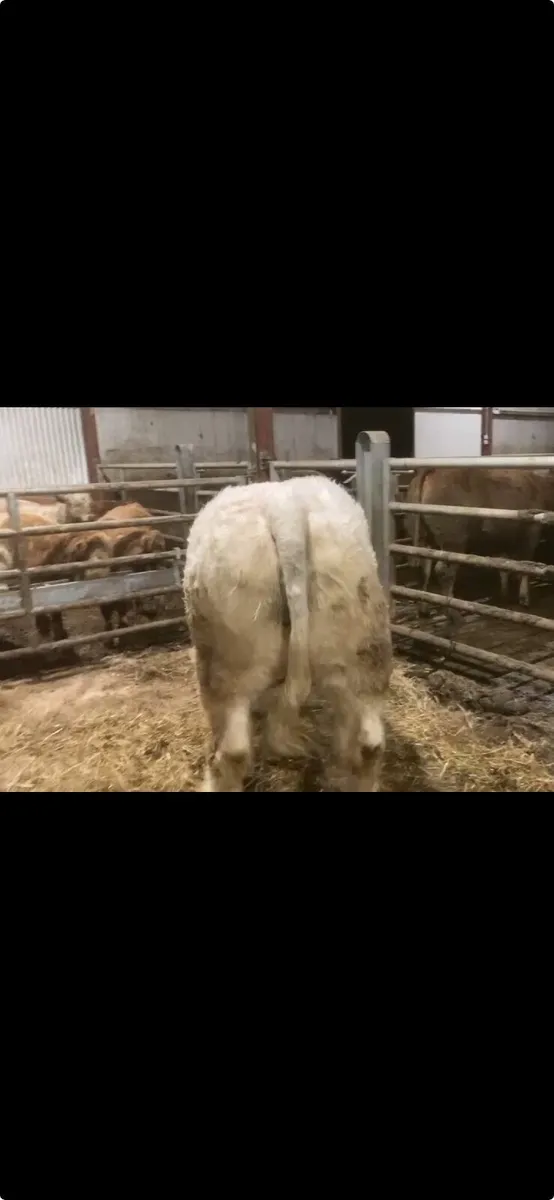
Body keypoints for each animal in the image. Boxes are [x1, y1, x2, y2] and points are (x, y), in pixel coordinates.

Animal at [404, 467, 554, 606]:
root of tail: (433, 470)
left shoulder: (501, 538)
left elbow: (504, 564)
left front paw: (504, 594)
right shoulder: (531, 533)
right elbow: (525, 565)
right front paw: (524, 599)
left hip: (424, 538)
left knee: (425, 569)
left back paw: (424, 608)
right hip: (453, 540)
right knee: (444, 572)